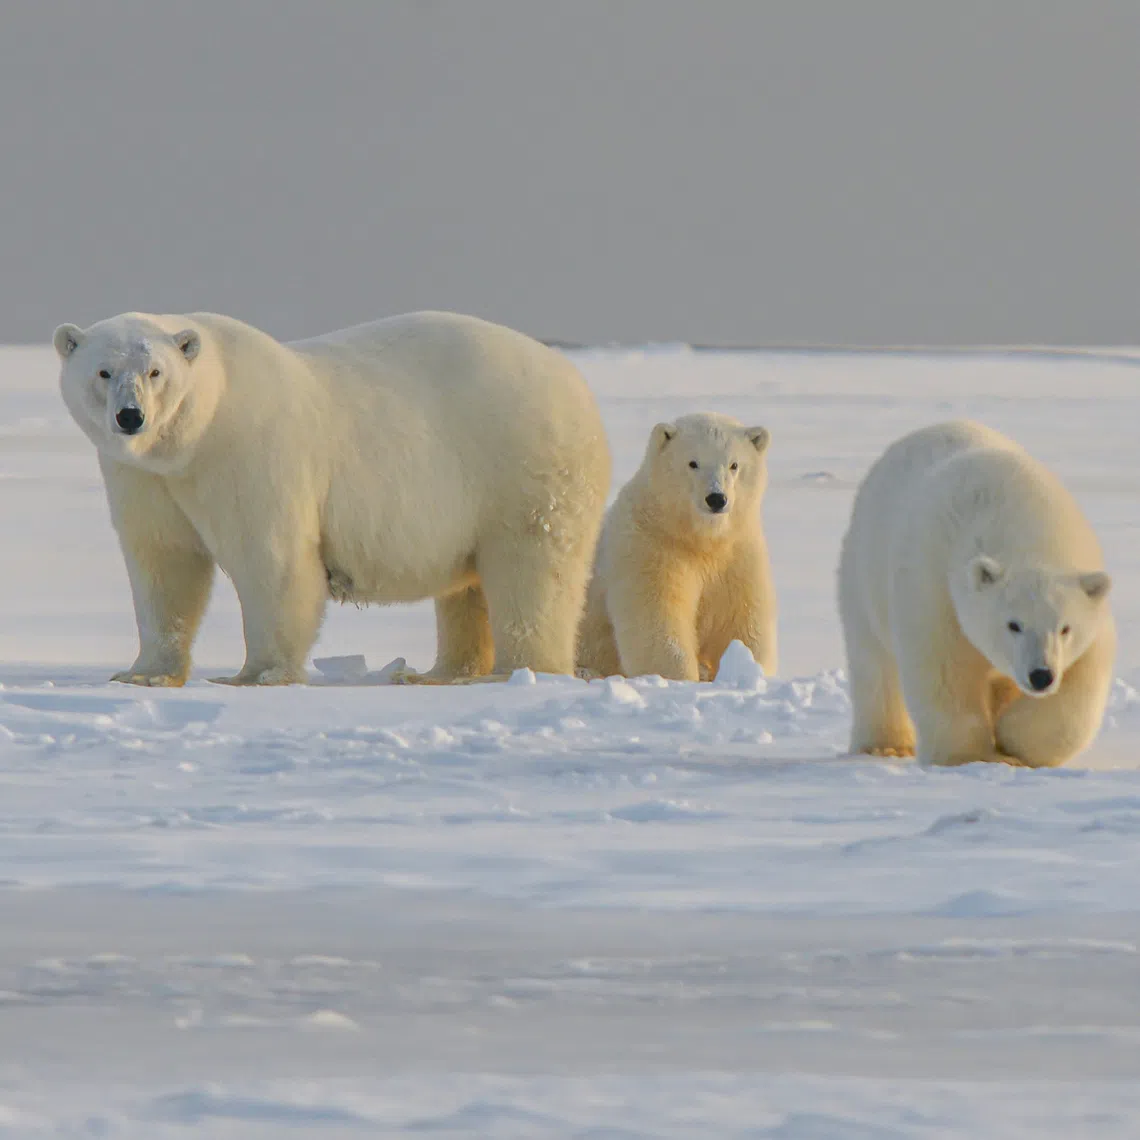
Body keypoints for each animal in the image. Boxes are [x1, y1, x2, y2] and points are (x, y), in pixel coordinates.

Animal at [54, 310, 612, 686]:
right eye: (103, 371)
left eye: (156, 372)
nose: (131, 417)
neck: (196, 435)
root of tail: (575, 382)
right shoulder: (144, 477)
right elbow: (163, 563)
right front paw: (143, 674)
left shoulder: (250, 452)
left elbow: (271, 560)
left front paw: (257, 675)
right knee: (467, 588)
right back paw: (439, 672)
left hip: (521, 466)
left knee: (531, 571)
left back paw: (520, 671)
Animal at [576, 412, 777, 682]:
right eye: (693, 463)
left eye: (734, 465)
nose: (716, 498)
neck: (698, 538)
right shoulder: (650, 546)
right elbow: (657, 618)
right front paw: (681, 677)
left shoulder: (737, 552)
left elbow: (740, 619)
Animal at [838, 419, 1114, 768]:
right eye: (1013, 624)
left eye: (1065, 628)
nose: (1041, 676)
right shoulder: (934, 587)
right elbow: (944, 670)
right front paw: (971, 756)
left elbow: (1080, 686)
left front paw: (1013, 741)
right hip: (863, 572)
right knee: (874, 663)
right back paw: (885, 746)